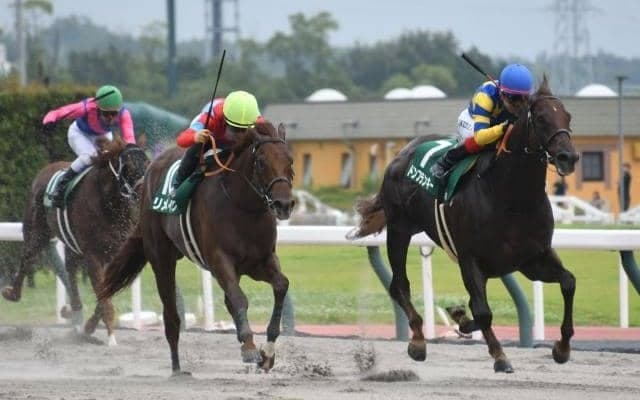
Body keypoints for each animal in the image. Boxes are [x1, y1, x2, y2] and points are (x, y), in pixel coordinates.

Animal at [2, 138, 149, 346]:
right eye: (127, 166)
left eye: (147, 163)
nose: (144, 192)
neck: (109, 205)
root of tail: (48, 168)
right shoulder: (94, 256)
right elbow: (103, 295)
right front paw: (111, 338)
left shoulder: (116, 255)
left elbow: (106, 293)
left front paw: (90, 326)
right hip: (36, 230)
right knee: (27, 258)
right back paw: (12, 293)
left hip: (71, 245)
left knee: (70, 271)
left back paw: (74, 310)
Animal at [97, 121, 295, 375]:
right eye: (261, 162)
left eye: (290, 161)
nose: (284, 204)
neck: (243, 207)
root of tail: (152, 167)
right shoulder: (220, 260)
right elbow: (240, 299)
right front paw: (250, 347)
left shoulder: (260, 261)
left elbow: (281, 285)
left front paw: (267, 353)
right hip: (161, 257)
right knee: (172, 315)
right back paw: (177, 368)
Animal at [349, 76, 580, 372]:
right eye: (540, 118)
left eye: (567, 116)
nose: (568, 157)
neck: (512, 198)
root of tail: (402, 153)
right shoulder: (470, 258)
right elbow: (483, 311)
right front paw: (500, 356)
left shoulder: (532, 259)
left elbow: (568, 282)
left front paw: (562, 348)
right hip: (399, 229)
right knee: (399, 285)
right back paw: (418, 340)